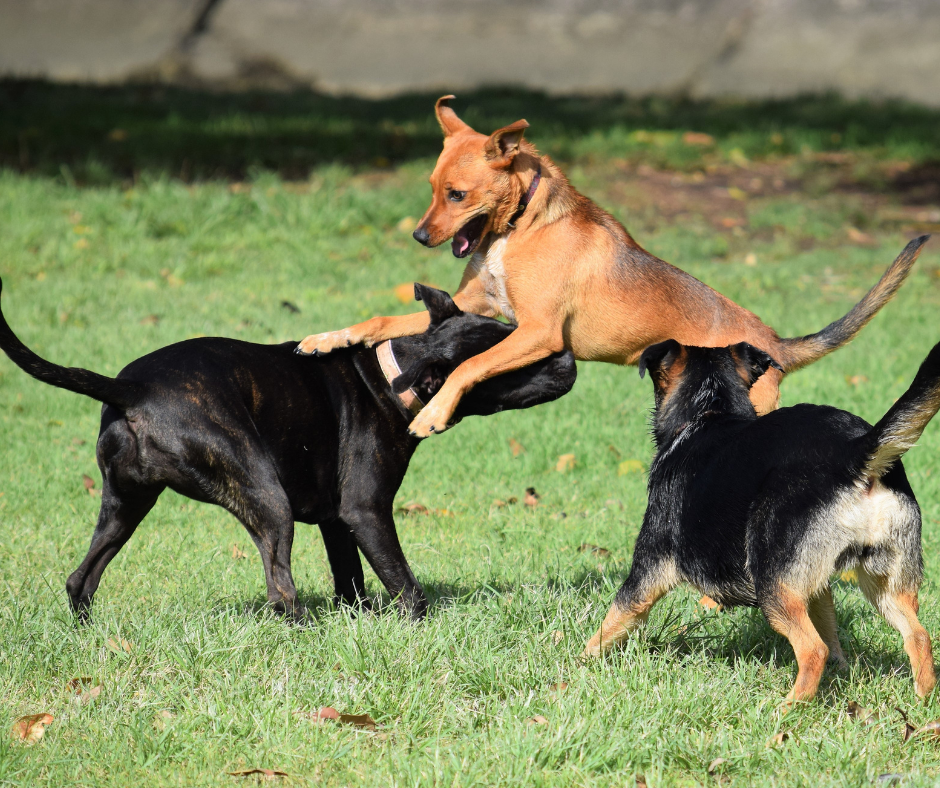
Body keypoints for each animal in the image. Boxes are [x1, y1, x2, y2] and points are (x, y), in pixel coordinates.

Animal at [0, 284, 576, 620]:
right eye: (514, 359)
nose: (569, 355)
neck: (393, 374)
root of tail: (133, 390)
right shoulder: (366, 512)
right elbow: (405, 585)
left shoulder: (337, 522)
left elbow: (352, 581)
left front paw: (358, 619)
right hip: (265, 498)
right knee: (281, 589)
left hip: (124, 505)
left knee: (81, 577)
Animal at [298, 98, 920, 438]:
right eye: (431, 188)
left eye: (457, 194)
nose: (419, 236)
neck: (519, 226)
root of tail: (774, 345)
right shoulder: (475, 308)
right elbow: (379, 321)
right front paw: (328, 337)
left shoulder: (537, 332)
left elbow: (466, 367)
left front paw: (432, 415)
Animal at [584, 336, 936, 704]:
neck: (709, 411)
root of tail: (856, 452)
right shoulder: (815, 584)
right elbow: (830, 627)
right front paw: (841, 669)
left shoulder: (647, 570)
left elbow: (613, 620)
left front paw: (579, 663)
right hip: (886, 583)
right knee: (918, 637)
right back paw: (922, 701)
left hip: (773, 582)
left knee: (813, 650)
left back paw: (788, 709)